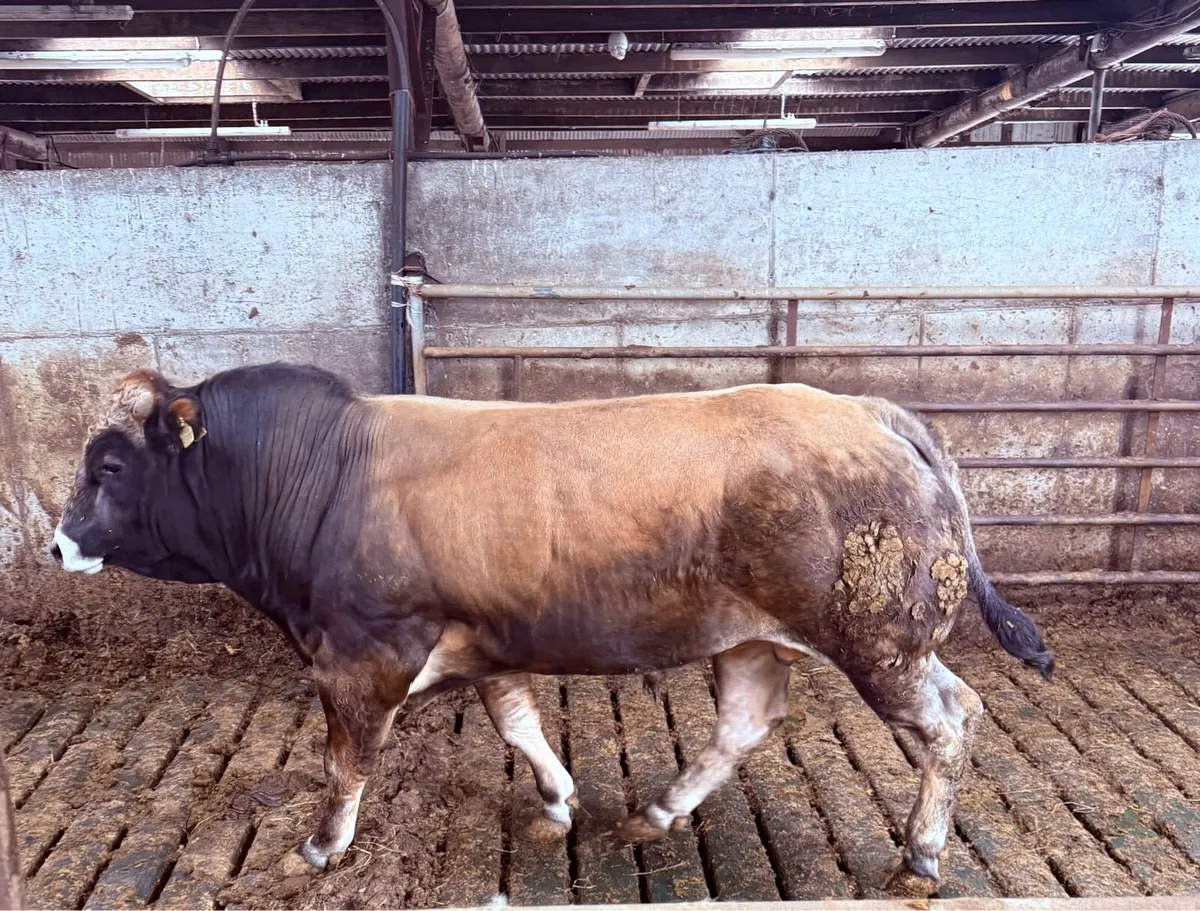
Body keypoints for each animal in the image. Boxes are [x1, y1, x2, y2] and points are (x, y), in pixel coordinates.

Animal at [52, 363, 1054, 892]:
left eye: (109, 464)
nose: (60, 542)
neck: (323, 470)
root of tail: (861, 407)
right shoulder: (488, 639)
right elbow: (519, 723)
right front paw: (558, 796)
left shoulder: (360, 653)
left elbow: (347, 760)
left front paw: (322, 845)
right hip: (753, 638)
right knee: (743, 725)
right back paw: (659, 808)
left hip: (884, 641)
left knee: (951, 719)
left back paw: (922, 851)